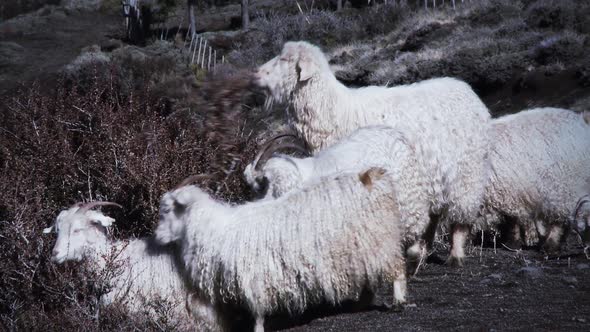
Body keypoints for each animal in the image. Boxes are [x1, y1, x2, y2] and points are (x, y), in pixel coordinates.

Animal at [155, 169, 410, 332]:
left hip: (380, 239)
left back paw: (398, 302)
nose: (157, 237)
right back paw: (360, 304)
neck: (215, 230)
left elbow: (257, 312)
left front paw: (258, 330)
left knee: (397, 269)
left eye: (167, 210)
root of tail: (371, 176)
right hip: (363, 248)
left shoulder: (253, 279)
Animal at [256, 41, 492, 266]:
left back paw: (455, 255)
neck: (335, 109)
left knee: (460, 216)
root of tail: (468, 93)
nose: (257, 75)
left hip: (466, 172)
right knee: (433, 215)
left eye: (285, 59)